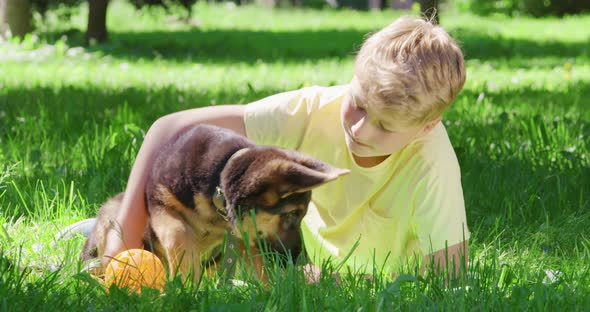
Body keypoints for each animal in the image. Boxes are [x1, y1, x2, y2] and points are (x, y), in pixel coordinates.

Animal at [83, 123, 352, 282]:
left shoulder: (244, 235)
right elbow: (178, 233)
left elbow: (258, 265)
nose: (298, 260)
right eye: (291, 215)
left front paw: (271, 291)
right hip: (111, 216)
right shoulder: (160, 201)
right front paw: (186, 281)